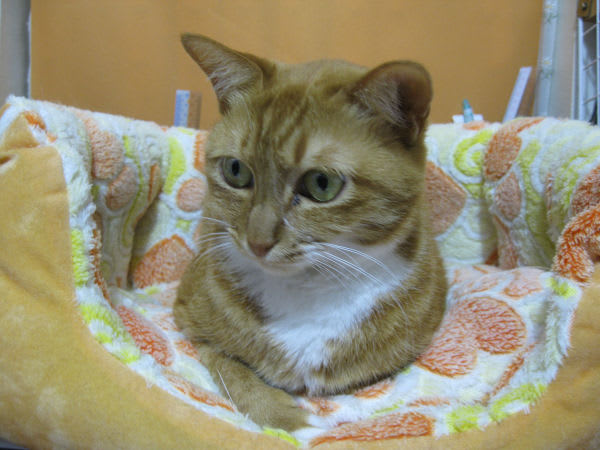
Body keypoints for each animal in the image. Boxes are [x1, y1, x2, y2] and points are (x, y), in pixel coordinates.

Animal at [174, 34, 447, 431]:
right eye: (236, 171)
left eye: (322, 184)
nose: (257, 242)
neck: (308, 288)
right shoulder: (189, 323)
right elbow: (233, 369)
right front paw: (285, 417)